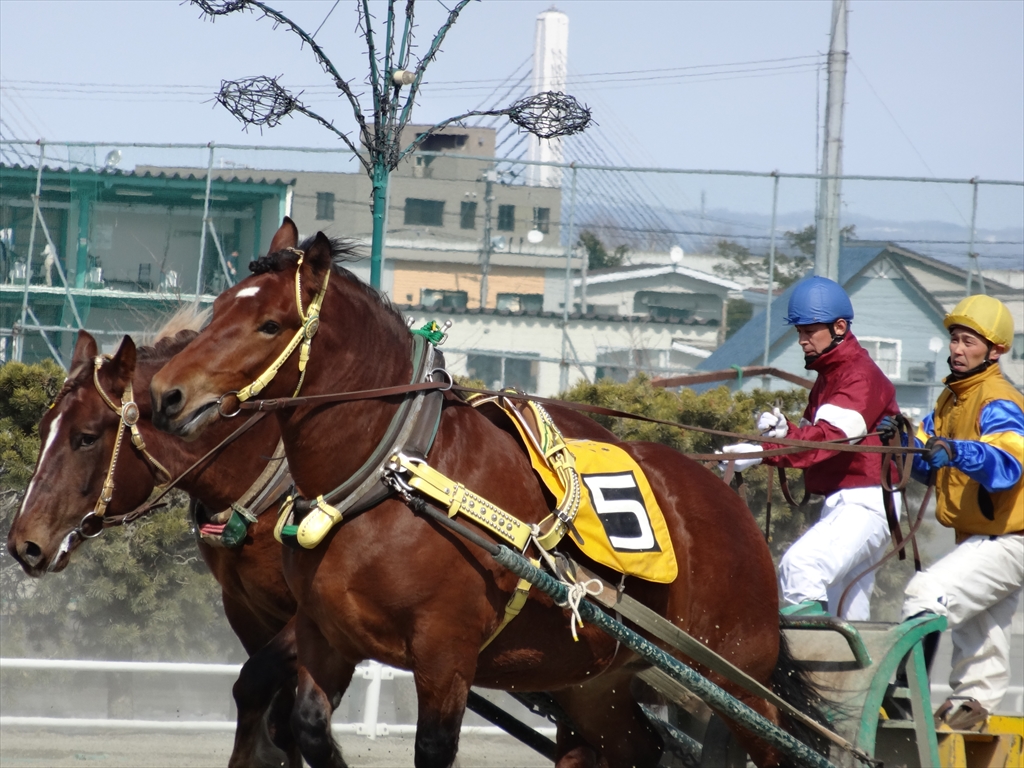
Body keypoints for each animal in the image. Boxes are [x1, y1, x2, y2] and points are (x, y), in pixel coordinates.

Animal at [150, 218, 827, 768]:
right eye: (216, 309)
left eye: (270, 324)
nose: (165, 394)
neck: (385, 481)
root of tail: (730, 502)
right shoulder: (323, 637)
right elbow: (309, 727)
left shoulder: (445, 655)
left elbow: (431, 748)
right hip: (594, 682)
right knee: (634, 746)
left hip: (737, 679)